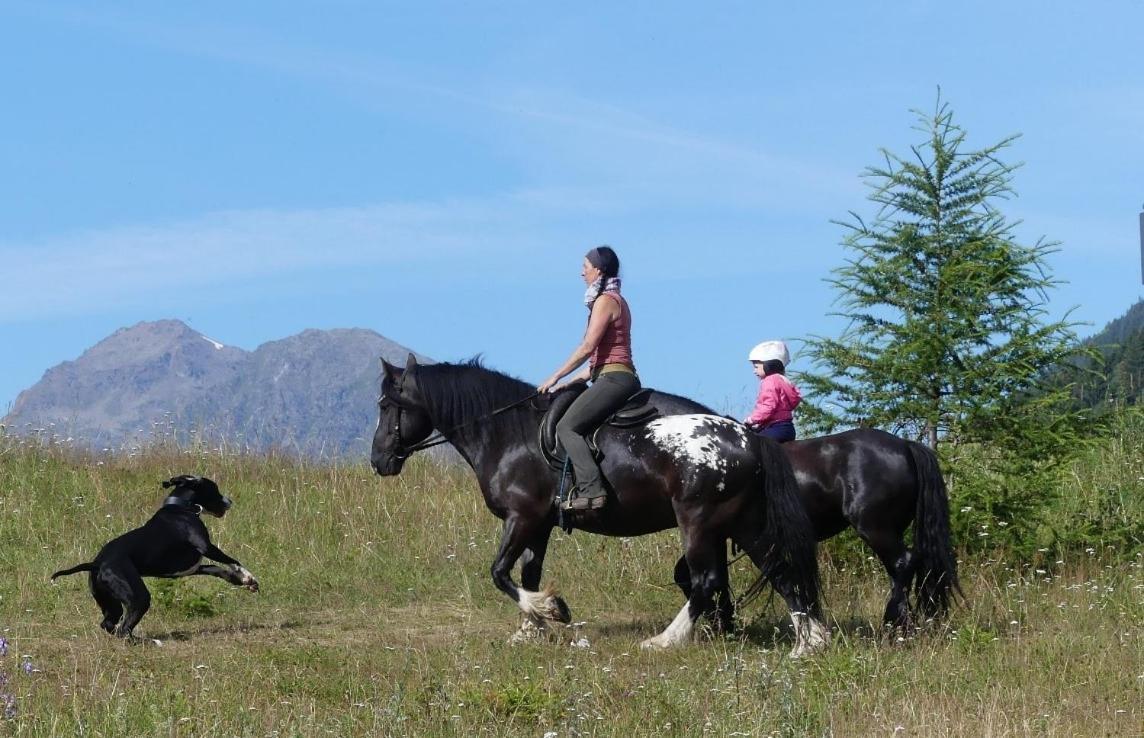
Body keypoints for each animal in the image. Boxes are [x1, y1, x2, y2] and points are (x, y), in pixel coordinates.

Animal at [53, 475, 257, 636]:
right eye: (214, 489)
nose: (229, 501)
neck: (181, 508)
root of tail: (96, 563)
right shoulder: (206, 547)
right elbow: (233, 561)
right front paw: (249, 578)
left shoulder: (193, 568)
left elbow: (215, 569)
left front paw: (239, 580)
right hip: (138, 597)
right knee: (123, 629)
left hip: (110, 602)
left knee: (108, 624)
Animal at [370, 354, 828, 654]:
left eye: (387, 406)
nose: (378, 460)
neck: (509, 434)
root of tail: (748, 438)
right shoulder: (539, 524)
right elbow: (528, 573)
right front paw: (530, 630)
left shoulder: (521, 518)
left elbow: (499, 573)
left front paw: (551, 610)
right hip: (743, 522)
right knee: (779, 569)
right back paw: (810, 642)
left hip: (699, 521)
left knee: (707, 580)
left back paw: (665, 640)